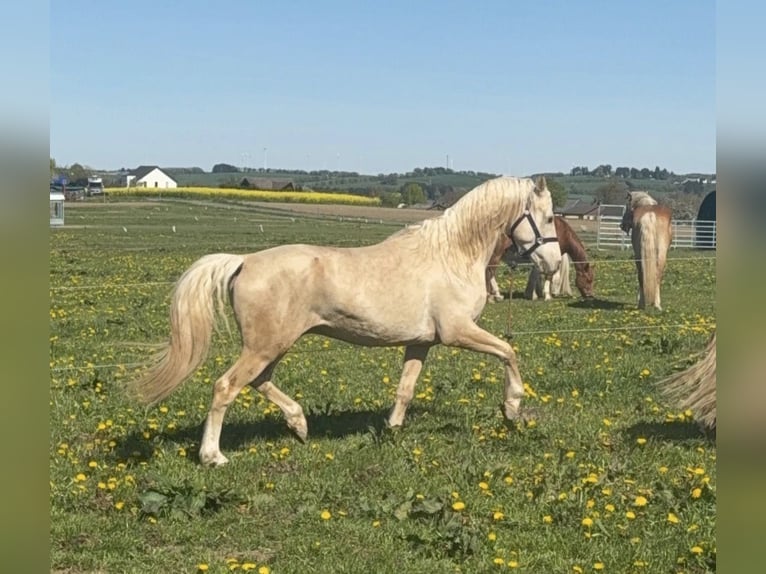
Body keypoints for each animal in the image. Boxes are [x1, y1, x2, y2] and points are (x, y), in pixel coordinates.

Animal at [128, 175, 562, 466]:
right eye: (548, 218)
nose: (554, 264)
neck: (451, 255)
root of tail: (244, 261)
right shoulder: (459, 332)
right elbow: (508, 352)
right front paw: (512, 408)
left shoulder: (421, 342)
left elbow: (405, 389)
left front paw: (392, 430)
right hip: (265, 345)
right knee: (226, 387)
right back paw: (213, 456)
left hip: (272, 346)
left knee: (258, 382)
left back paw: (300, 426)